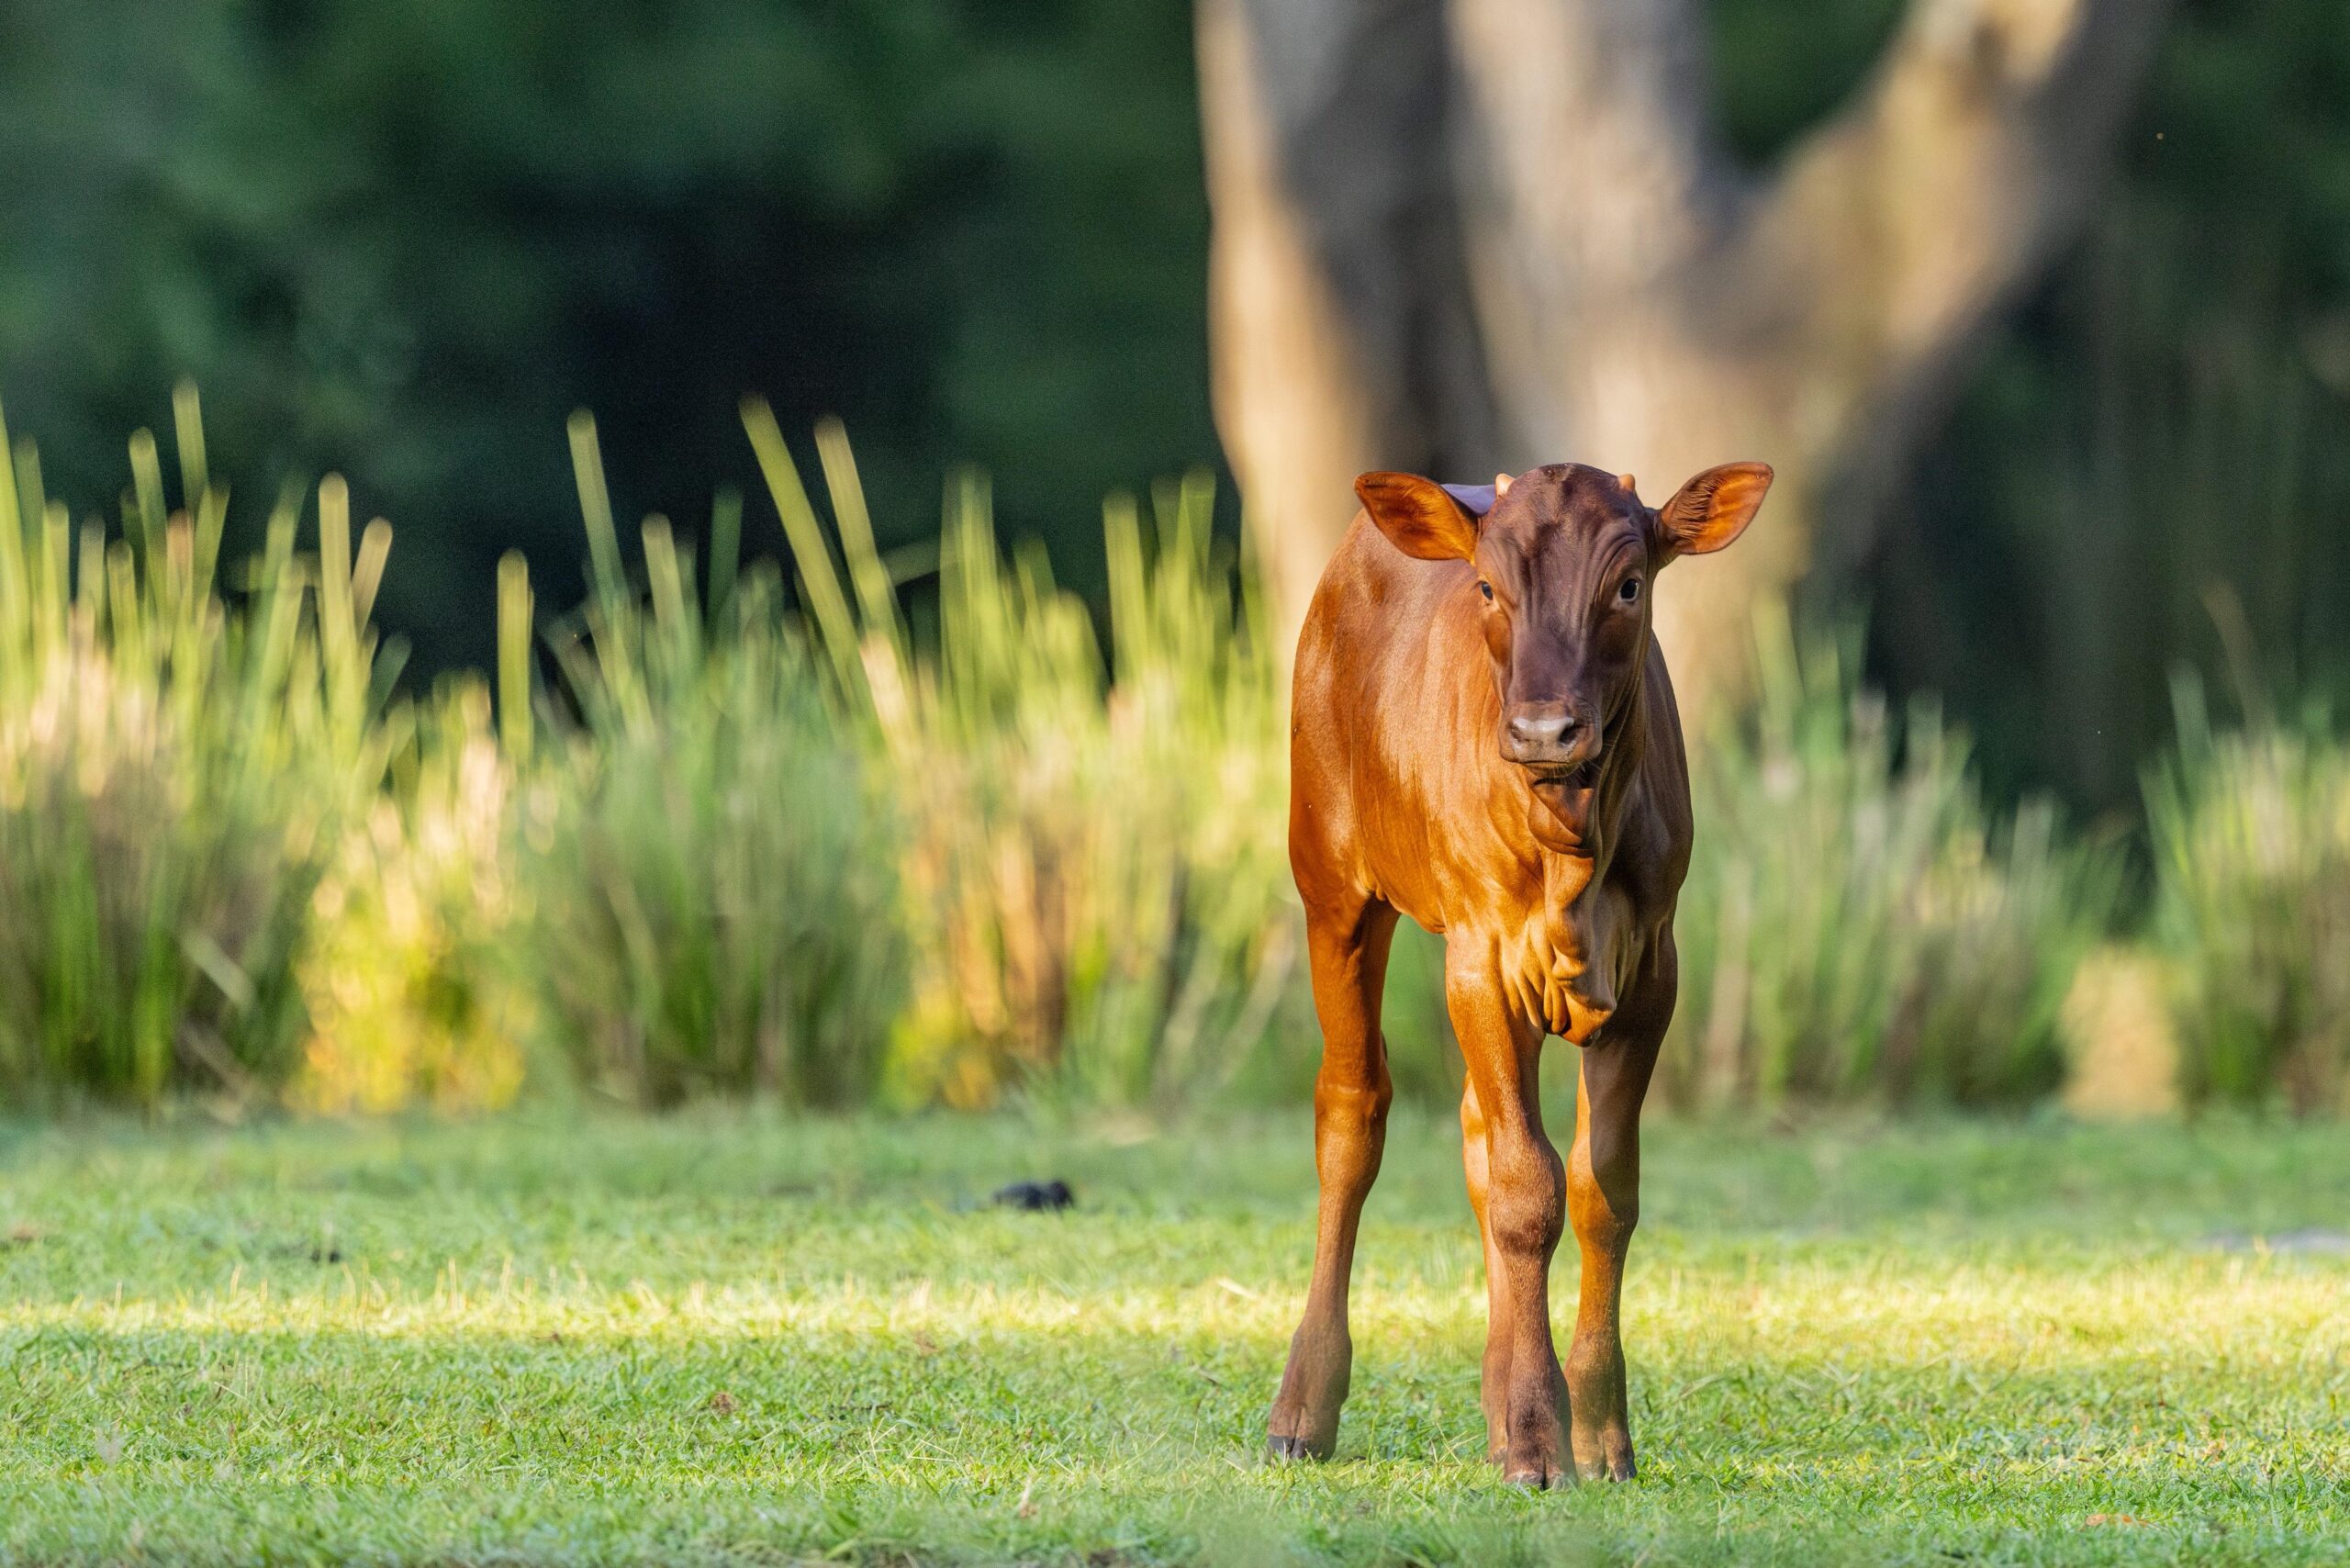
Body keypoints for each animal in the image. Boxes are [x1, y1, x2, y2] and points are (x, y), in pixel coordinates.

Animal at [1267, 460, 1772, 1487]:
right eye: (1489, 589)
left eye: (1628, 585)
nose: (1544, 730)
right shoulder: (1481, 955)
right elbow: (1525, 1191)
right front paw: (1540, 1440)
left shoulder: (1653, 968)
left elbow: (1599, 1187)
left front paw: (1594, 1431)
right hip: (1329, 877)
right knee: (1352, 1111)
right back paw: (1303, 1408)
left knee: (1473, 1128)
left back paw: (1499, 1402)